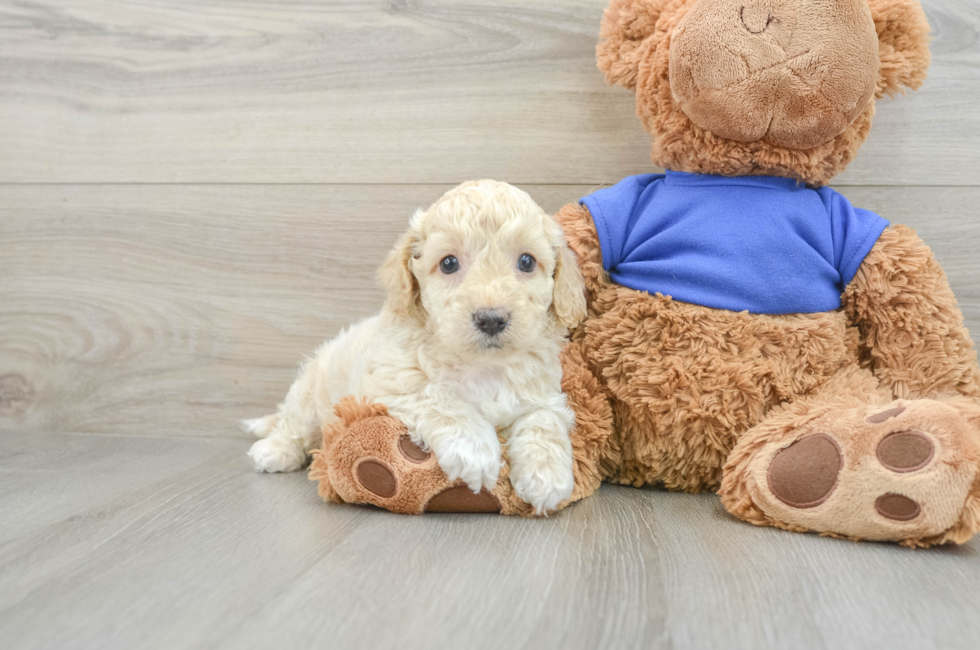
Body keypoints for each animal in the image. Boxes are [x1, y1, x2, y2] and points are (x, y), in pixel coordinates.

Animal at [245, 180, 584, 512]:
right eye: (449, 263)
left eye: (527, 261)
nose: (491, 319)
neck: (482, 364)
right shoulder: (390, 382)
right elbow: (437, 397)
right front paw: (475, 451)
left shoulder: (545, 394)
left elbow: (544, 420)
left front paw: (547, 476)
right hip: (309, 394)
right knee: (293, 427)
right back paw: (273, 451)